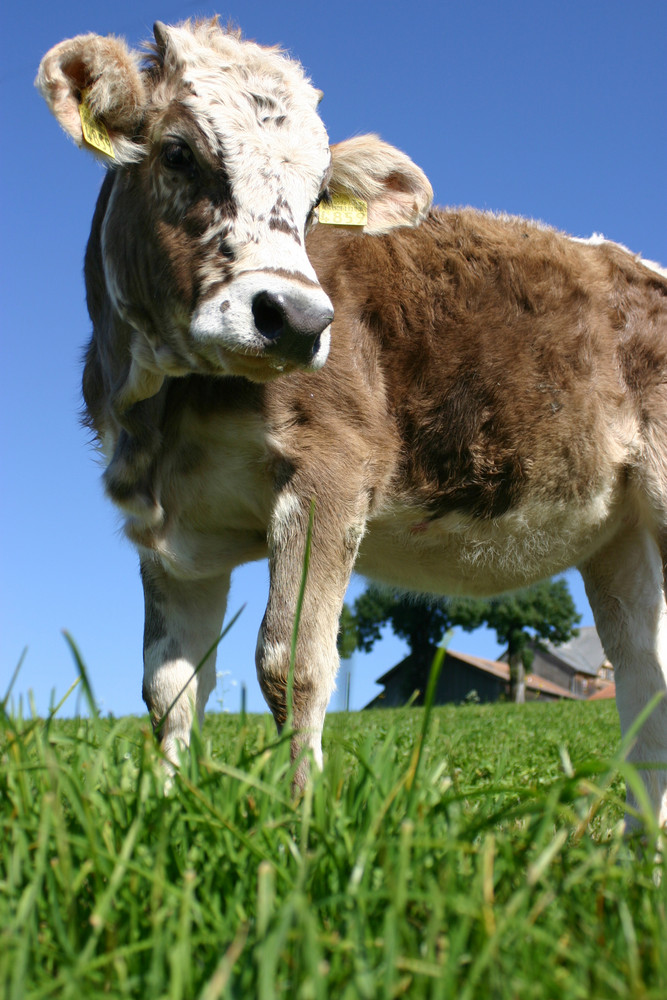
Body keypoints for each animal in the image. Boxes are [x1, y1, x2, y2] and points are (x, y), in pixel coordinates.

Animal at [37, 17, 667, 828]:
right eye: (177, 152)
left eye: (314, 203)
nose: (299, 320)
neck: (164, 408)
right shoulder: (171, 533)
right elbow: (168, 687)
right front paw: (165, 818)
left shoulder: (329, 472)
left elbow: (293, 662)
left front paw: (299, 825)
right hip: (617, 534)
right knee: (644, 674)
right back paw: (636, 845)